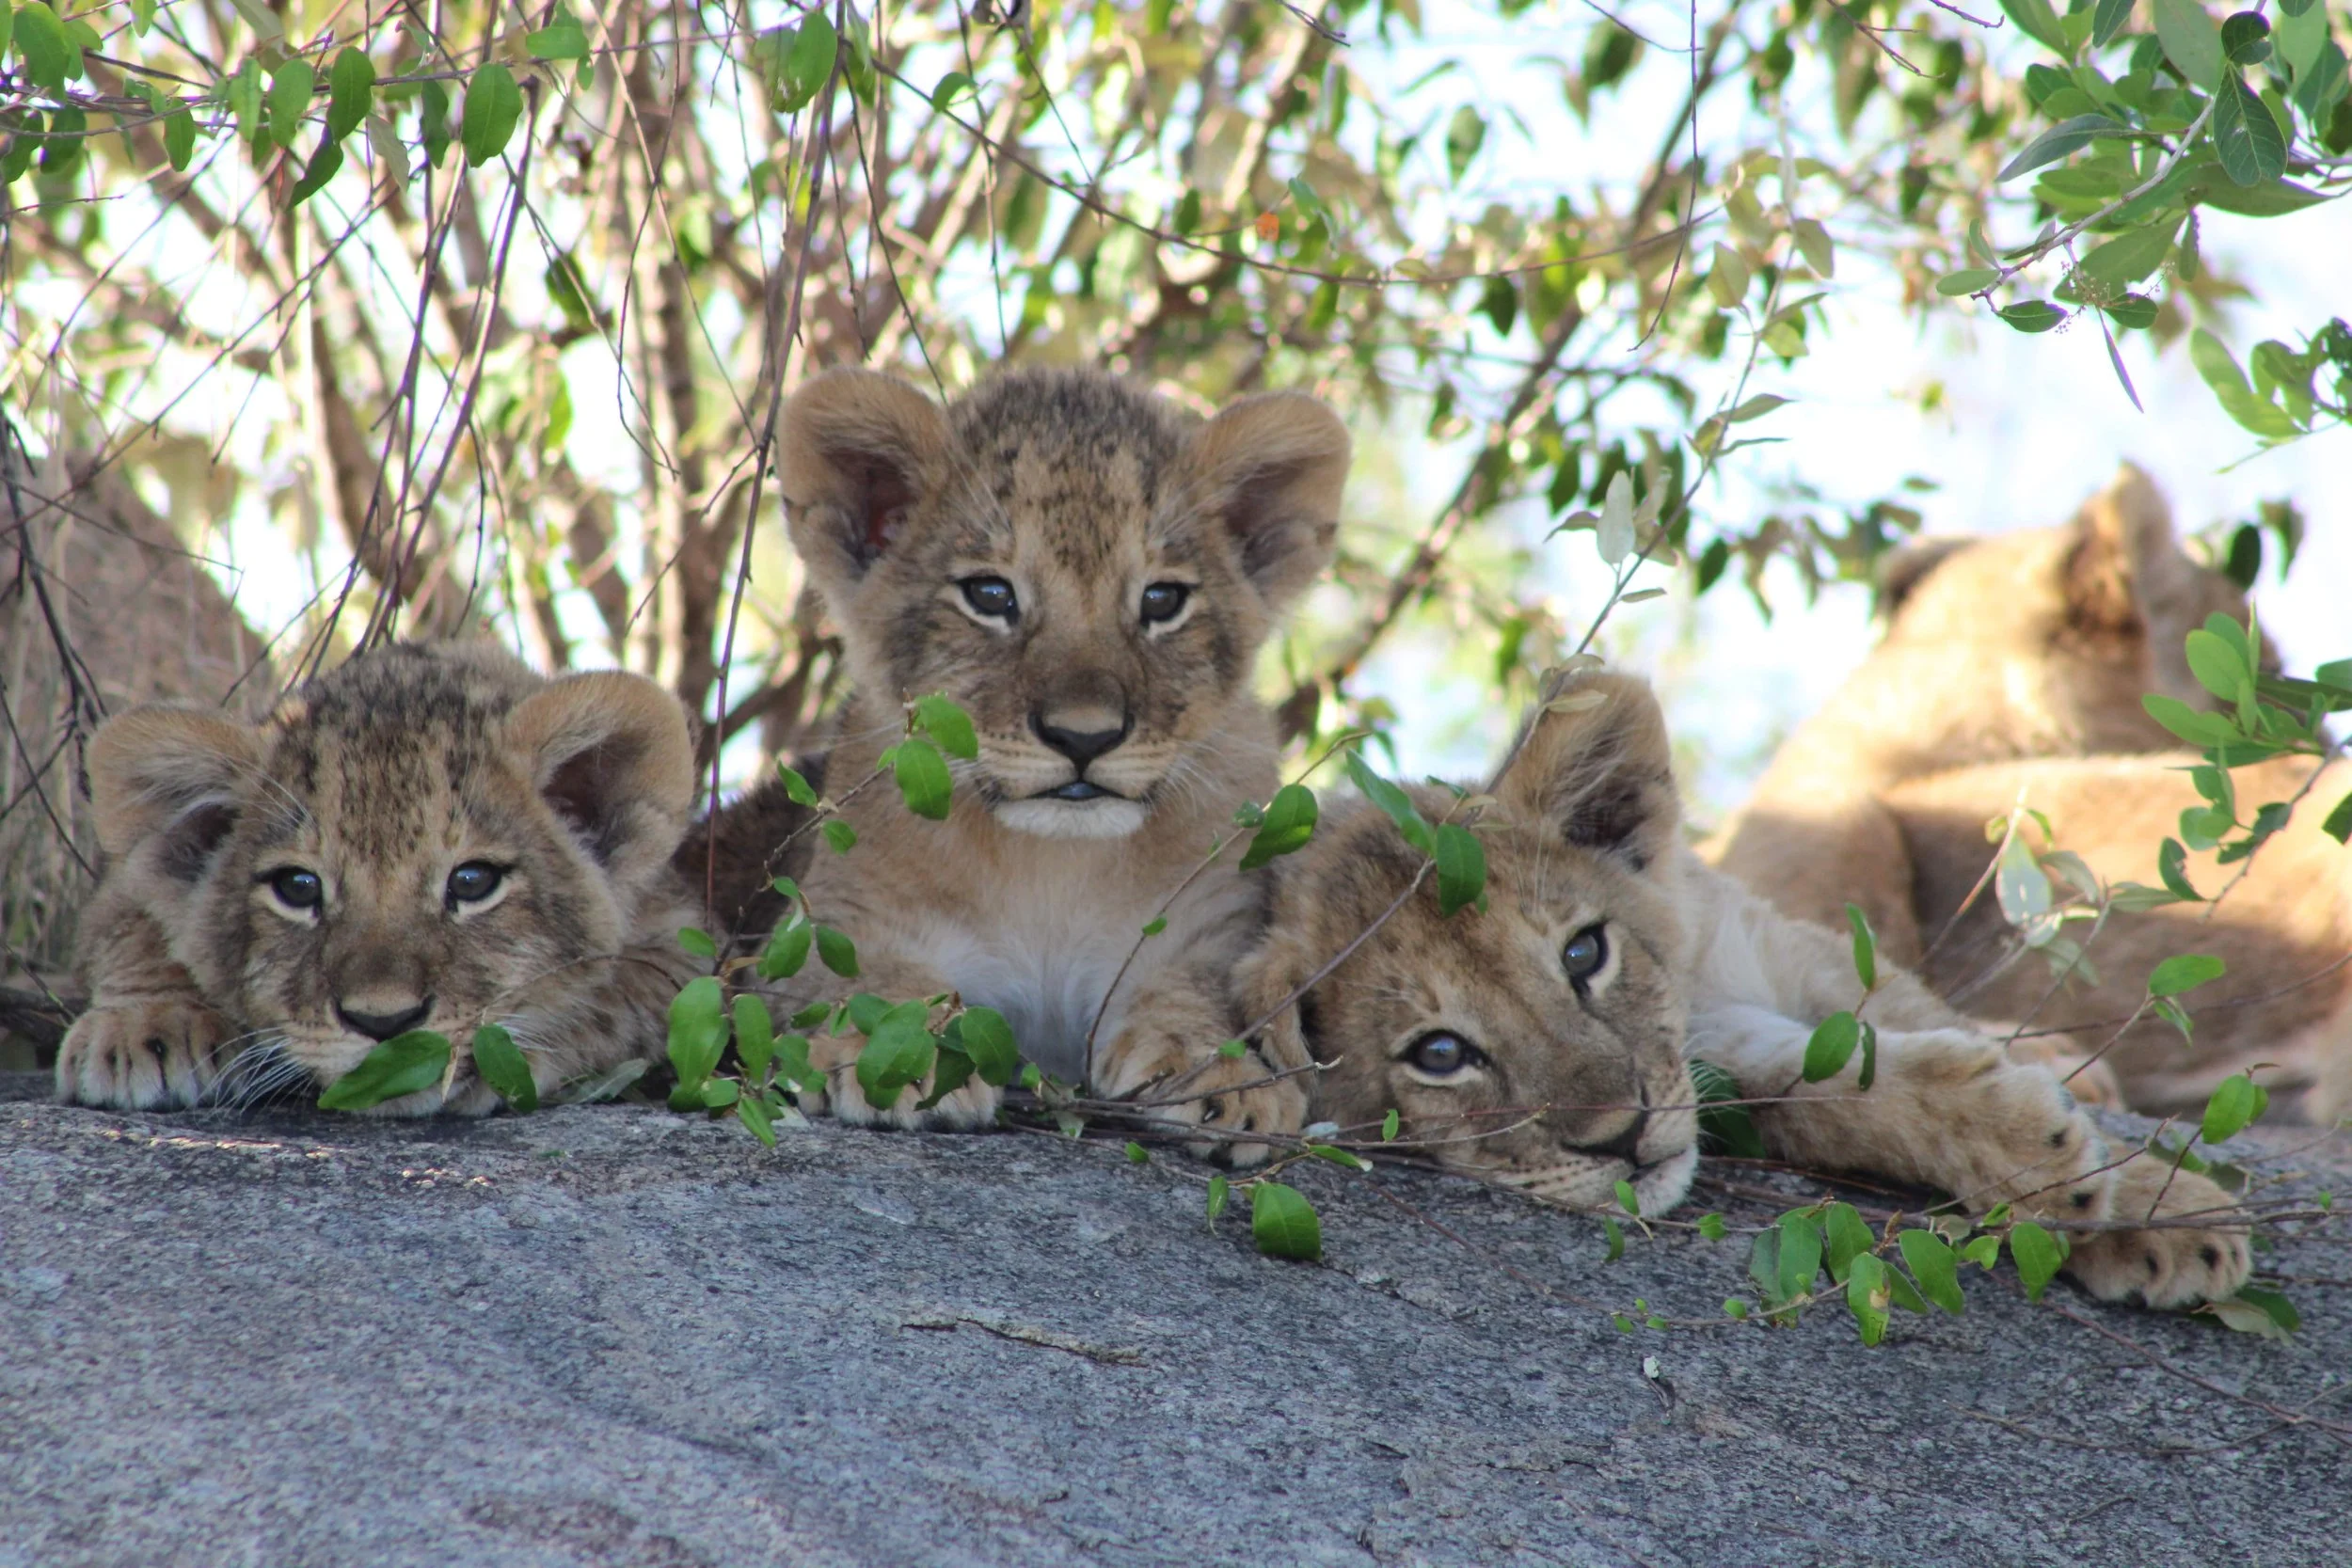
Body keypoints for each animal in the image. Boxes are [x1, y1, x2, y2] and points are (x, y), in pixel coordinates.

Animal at [53, 641, 704, 1114]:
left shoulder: (680, 938)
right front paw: (146, 1025)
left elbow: (620, 999)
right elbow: (131, 927)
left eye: (473, 882)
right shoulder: (124, 891)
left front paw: (510, 1053)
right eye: (298, 888)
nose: (384, 1024)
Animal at [764, 365, 1348, 1153]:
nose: (1084, 737)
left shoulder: (1208, 930)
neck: (1051, 867)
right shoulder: (833, 926)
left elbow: (1198, 997)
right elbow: (864, 984)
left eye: (1162, 599)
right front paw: (901, 1057)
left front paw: (1227, 1077)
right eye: (989, 594)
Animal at [1236, 671, 2252, 1309]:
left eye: (1583, 953)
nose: (1624, 1139)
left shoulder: (1765, 948)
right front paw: (2069, 1178)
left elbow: (1897, 1027)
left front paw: (2160, 1206)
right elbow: (1828, 1090)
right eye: (1440, 1054)